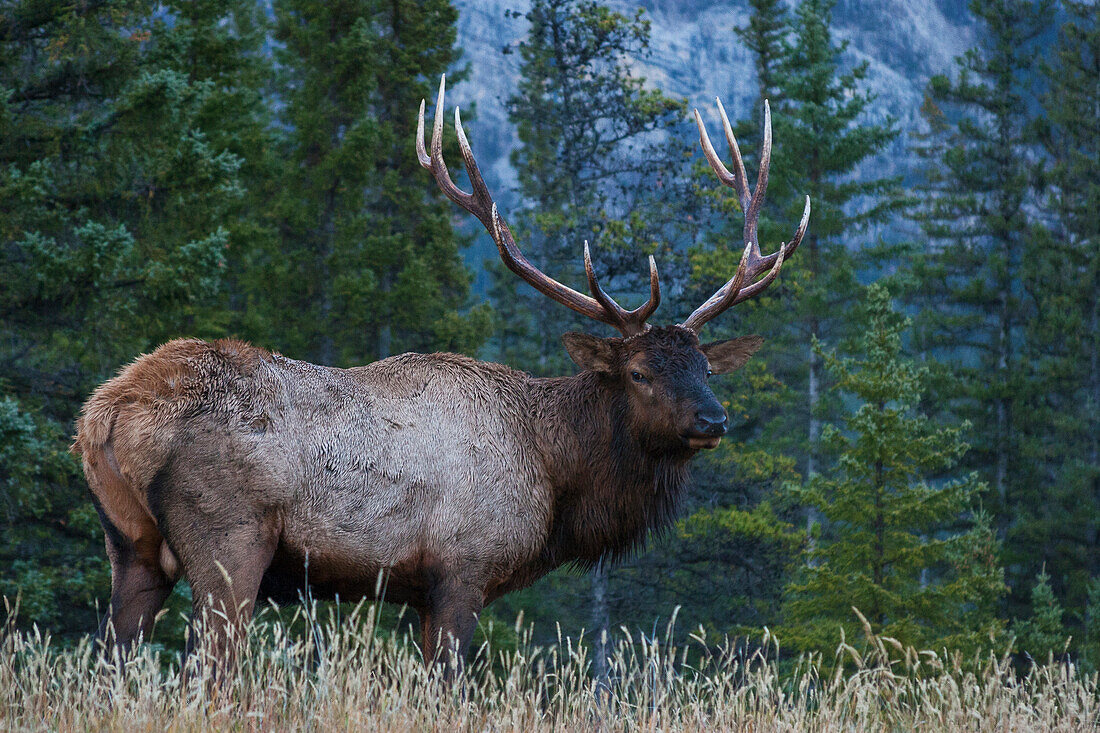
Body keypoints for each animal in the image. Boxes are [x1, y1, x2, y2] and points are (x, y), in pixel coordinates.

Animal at [70, 78, 809, 669]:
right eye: (638, 372)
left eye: (705, 366)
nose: (713, 419)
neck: (556, 475)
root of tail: (108, 412)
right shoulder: (462, 568)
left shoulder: (418, 591)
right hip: (230, 541)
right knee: (208, 669)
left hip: (130, 547)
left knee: (112, 661)